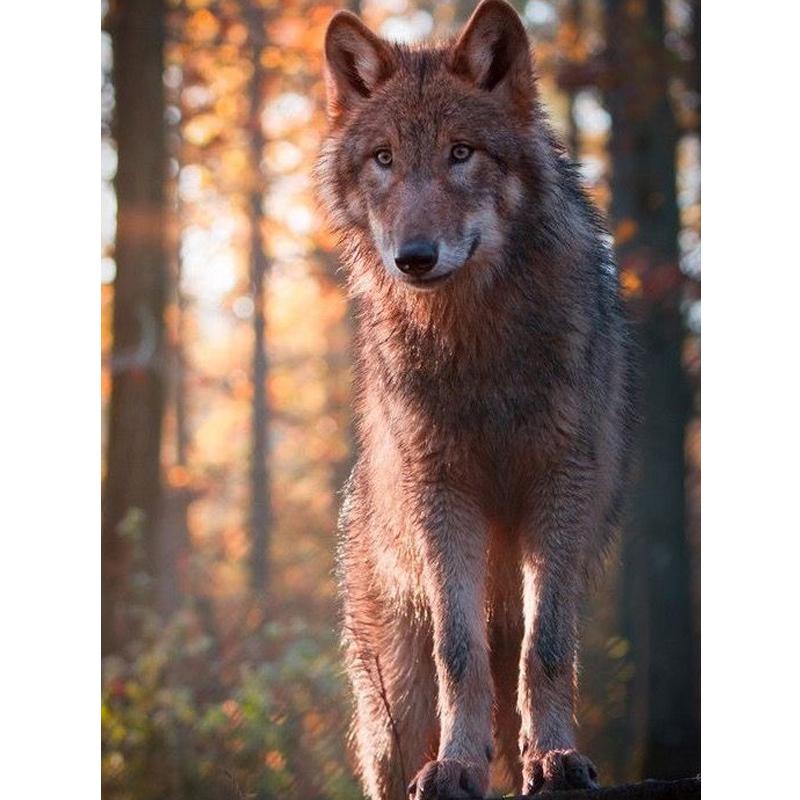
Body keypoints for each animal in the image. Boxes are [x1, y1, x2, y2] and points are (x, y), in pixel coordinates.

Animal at [315, 1, 635, 797]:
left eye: (461, 153)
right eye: (385, 158)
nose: (414, 257)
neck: (476, 338)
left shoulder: (561, 483)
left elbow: (547, 648)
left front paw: (555, 757)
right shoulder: (442, 493)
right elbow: (457, 651)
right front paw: (459, 763)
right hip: (392, 712)